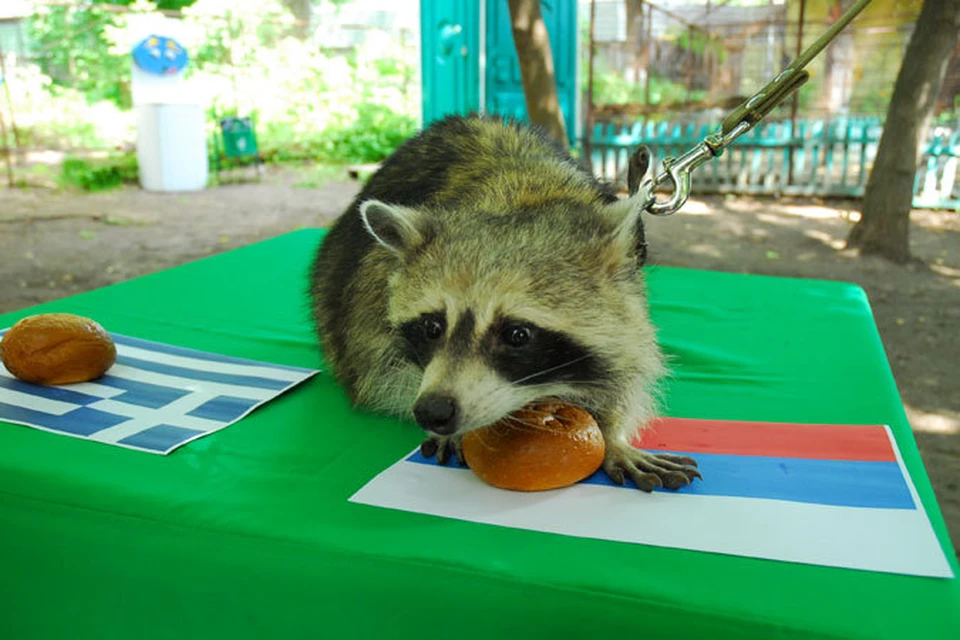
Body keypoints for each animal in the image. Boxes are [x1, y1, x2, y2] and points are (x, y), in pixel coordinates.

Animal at [312, 114, 700, 490]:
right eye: (432, 327)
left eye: (518, 335)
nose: (432, 411)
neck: (521, 198)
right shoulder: (371, 294)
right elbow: (380, 364)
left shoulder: (626, 293)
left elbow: (626, 360)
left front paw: (612, 434)